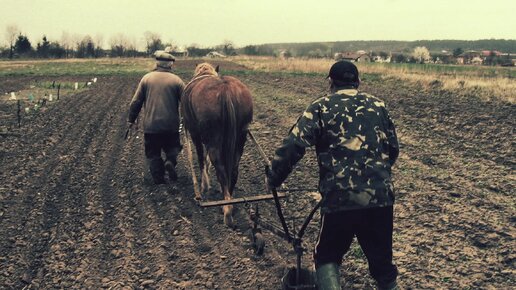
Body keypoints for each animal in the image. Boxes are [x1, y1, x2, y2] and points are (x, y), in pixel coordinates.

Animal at [182, 62, 253, 227]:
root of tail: (226, 90)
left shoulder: (195, 134)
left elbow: (201, 158)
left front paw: (204, 185)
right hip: (240, 138)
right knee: (233, 169)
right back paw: (229, 202)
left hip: (212, 138)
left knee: (220, 168)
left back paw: (227, 212)